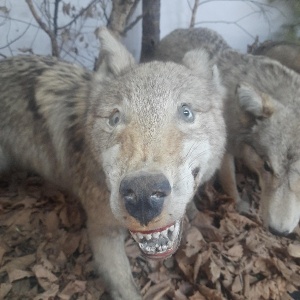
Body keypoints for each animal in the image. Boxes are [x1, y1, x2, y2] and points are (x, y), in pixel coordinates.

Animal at [155, 27, 300, 236]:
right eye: (267, 166)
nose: (278, 232)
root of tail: (176, 31)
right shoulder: (225, 150)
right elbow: (230, 182)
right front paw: (237, 205)